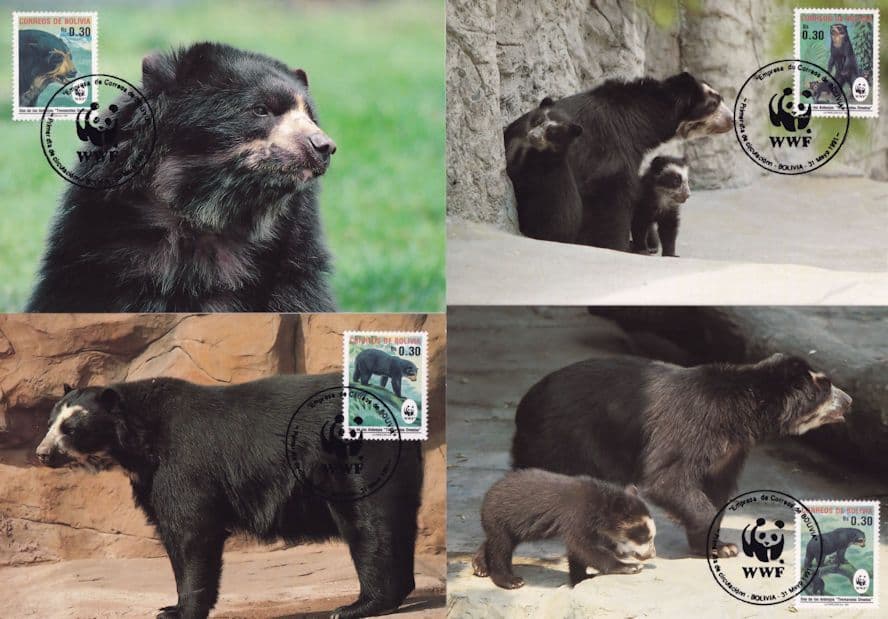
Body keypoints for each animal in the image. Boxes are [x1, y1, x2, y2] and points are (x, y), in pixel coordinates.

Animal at [35, 373, 422, 619]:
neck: (136, 444)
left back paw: (359, 606)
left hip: (354, 458)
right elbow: (172, 530)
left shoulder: (183, 463)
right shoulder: (149, 479)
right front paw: (170, 607)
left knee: (368, 523)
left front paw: (180, 611)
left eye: (71, 428)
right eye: (50, 423)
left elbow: (191, 531)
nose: (42, 454)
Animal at [472, 469, 655, 589]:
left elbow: (578, 551)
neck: (600, 506)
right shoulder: (577, 514)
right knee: (501, 546)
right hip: (501, 516)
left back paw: (480, 565)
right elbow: (583, 547)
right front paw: (631, 567)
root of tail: (490, 491)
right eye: (644, 537)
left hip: (516, 525)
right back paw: (510, 580)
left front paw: (582, 578)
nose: (651, 554)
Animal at [504, 97, 583, 243]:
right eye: (538, 121)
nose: (534, 136)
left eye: (552, 133)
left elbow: (517, 175)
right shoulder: (515, 133)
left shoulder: (536, 170)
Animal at [511, 353, 852, 558]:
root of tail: (526, 400)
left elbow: (715, 488)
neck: (742, 413)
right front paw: (723, 546)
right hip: (563, 437)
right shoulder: (692, 425)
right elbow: (668, 479)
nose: (849, 401)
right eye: (827, 388)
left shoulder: (729, 452)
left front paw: (715, 546)